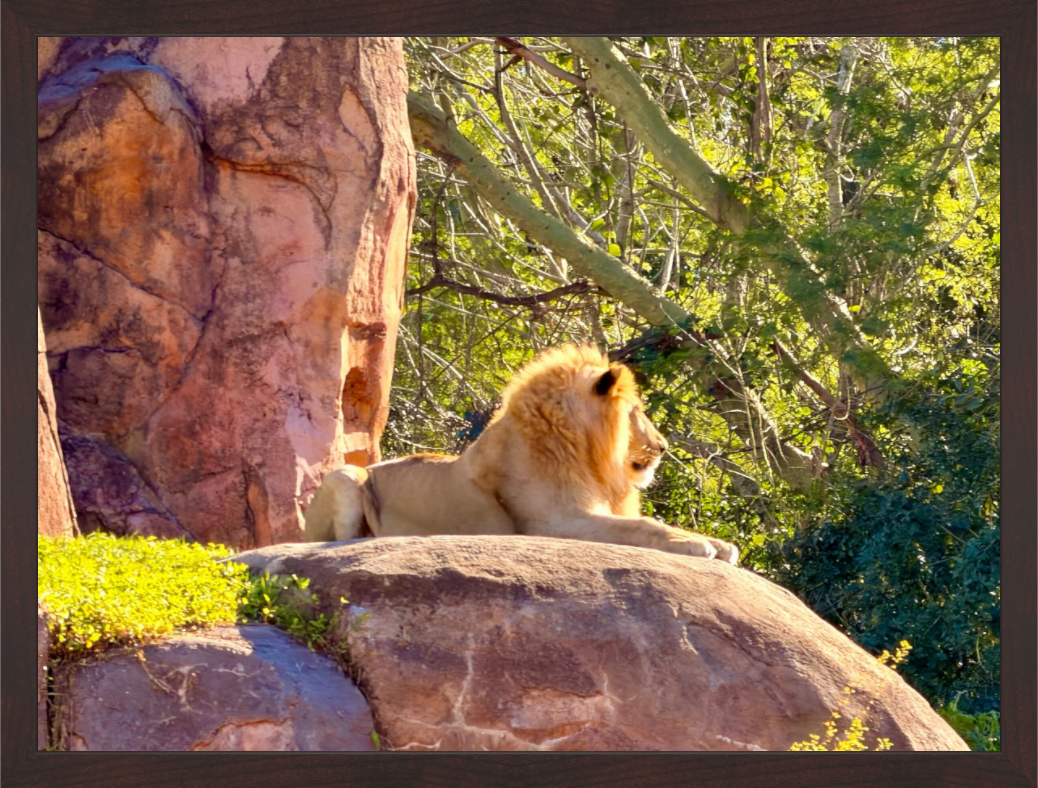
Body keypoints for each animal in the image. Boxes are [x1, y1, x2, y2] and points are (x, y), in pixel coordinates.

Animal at [304, 344, 738, 563]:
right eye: (636, 411)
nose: (663, 446)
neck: (586, 453)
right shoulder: (554, 523)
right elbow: (643, 526)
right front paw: (698, 546)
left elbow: (652, 522)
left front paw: (716, 543)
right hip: (347, 476)